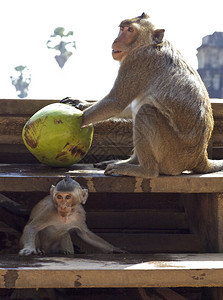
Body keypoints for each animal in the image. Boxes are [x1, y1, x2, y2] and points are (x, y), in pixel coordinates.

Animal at [62, 12, 223, 178]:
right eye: (122, 28)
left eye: (130, 30)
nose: (116, 40)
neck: (150, 44)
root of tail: (201, 157)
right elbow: (125, 107)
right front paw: (81, 103)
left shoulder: (136, 61)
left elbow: (116, 102)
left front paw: (77, 120)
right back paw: (130, 162)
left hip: (173, 156)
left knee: (146, 112)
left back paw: (143, 170)